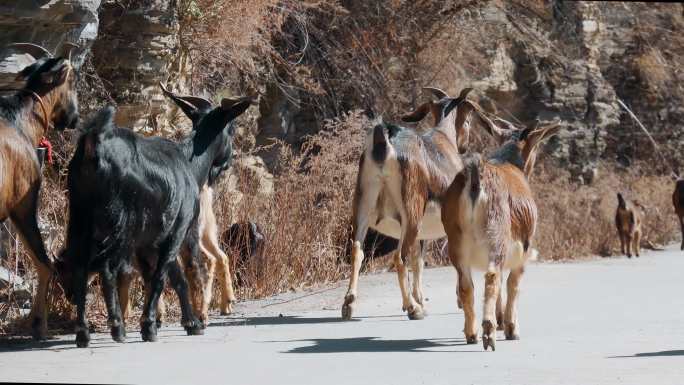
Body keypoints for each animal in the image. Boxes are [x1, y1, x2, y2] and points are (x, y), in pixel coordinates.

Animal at [0, 42, 79, 340]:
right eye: (72, 81)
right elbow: (44, 262)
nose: (74, 118)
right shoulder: (23, 204)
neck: (21, 124)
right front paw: (38, 324)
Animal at [54, 89, 251, 344]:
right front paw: (154, 325)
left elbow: (168, 277)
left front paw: (182, 321)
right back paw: (117, 327)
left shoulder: (149, 242)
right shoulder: (177, 231)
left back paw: (83, 332)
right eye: (232, 129)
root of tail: (93, 146)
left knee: (80, 266)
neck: (190, 164)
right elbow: (163, 276)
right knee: (108, 269)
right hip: (118, 222)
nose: (227, 162)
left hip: (79, 217)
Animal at [342, 85, 496, 320]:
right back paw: (413, 309)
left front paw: (420, 298)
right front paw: (453, 300)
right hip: (411, 214)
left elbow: (419, 262)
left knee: (357, 251)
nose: (464, 145)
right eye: (469, 119)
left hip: (363, 206)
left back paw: (349, 304)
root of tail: (384, 139)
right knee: (399, 258)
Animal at [440, 121, 560, 352]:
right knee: (492, 276)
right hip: (496, 233)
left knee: (466, 284)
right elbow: (513, 283)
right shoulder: (523, 248)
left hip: (456, 241)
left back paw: (472, 333)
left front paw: (501, 320)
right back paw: (488, 332)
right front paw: (511, 327)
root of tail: (476, 179)